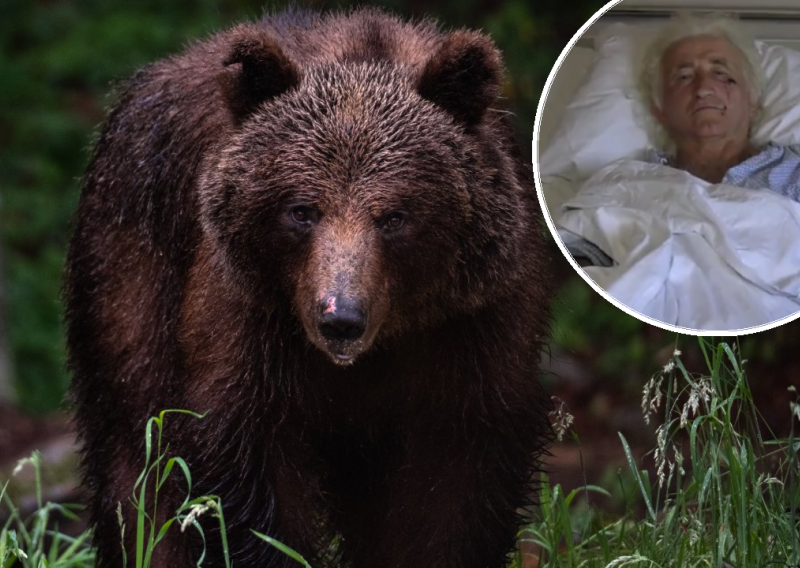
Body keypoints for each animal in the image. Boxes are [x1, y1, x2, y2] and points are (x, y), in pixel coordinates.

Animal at [62, 5, 552, 568]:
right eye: (301, 210)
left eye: (395, 216)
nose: (340, 318)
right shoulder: (253, 325)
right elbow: (244, 478)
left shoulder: (470, 331)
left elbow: (457, 488)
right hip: (130, 272)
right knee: (135, 458)